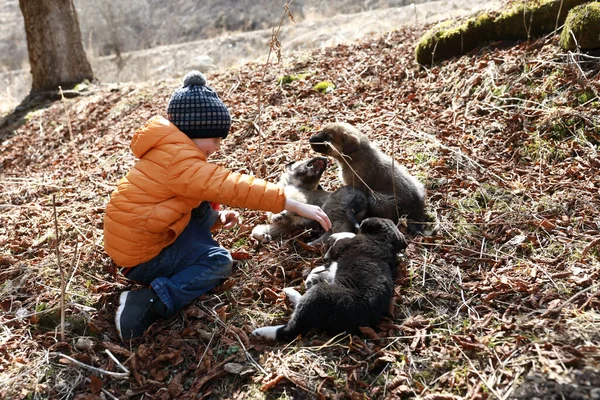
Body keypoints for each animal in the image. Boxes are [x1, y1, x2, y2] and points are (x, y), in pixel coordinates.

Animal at [251, 217, 406, 342]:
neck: (383, 242)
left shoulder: (345, 246)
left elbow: (345, 238)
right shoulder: (334, 267)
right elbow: (325, 268)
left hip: (318, 294)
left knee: (290, 329)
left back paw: (262, 329)